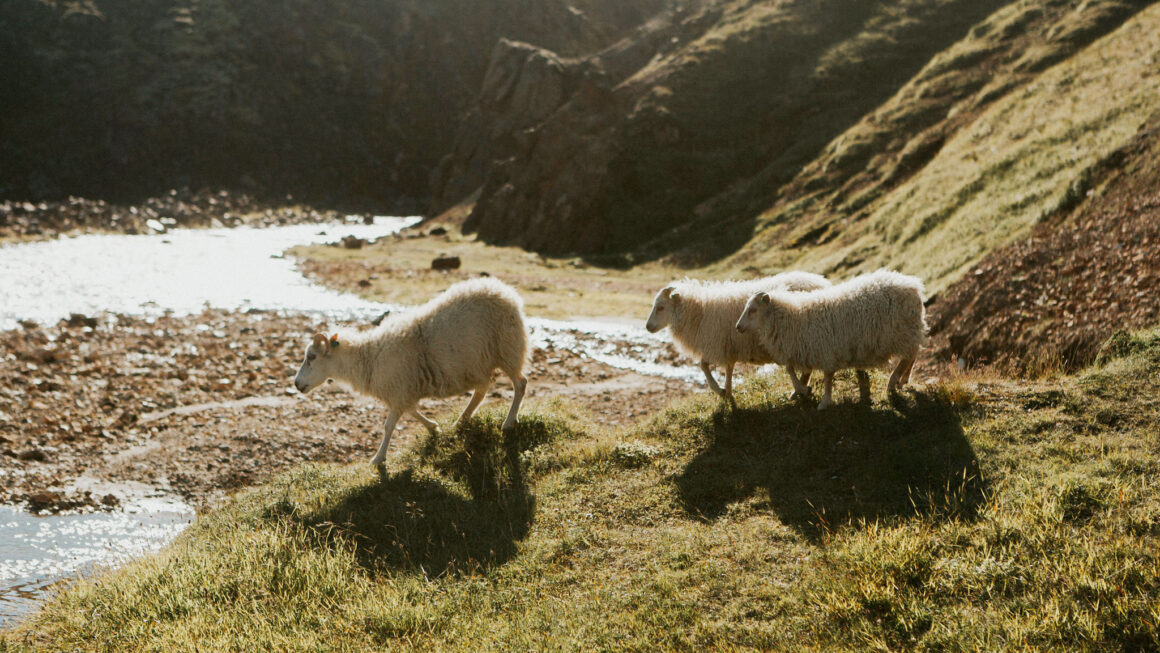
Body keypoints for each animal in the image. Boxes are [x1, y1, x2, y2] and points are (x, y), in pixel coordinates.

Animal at [294, 278, 531, 468]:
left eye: (311, 357)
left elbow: (389, 425)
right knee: (481, 391)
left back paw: (509, 422)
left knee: (520, 383)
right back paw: (461, 421)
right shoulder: (404, 391)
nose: (296, 384)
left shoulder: (399, 389)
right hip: (480, 363)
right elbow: (412, 412)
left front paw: (378, 458)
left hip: (508, 348)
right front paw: (434, 428)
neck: (369, 357)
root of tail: (505, 291)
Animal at [644, 271, 835, 398]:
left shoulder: (718, 344)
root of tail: (823, 283)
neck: (698, 312)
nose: (647, 327)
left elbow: (705, 366)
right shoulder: (726, 345)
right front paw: (727, 392)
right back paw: (800, 389)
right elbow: (721, 368)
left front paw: (721, 390)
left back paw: (800, 389)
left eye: (660, 307)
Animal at [737, 267, 928, 410]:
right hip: (907, 331)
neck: (793, 317)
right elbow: (790, 369)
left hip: (902, 332)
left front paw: (823, 401)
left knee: (909, 355)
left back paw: (893, 381)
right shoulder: (804, 348)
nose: (737, 327)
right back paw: (903, 379)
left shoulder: (825, 350)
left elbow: (826, 377)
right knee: (913, 353)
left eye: (752, 310)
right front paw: (802, 389)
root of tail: (913, 285)